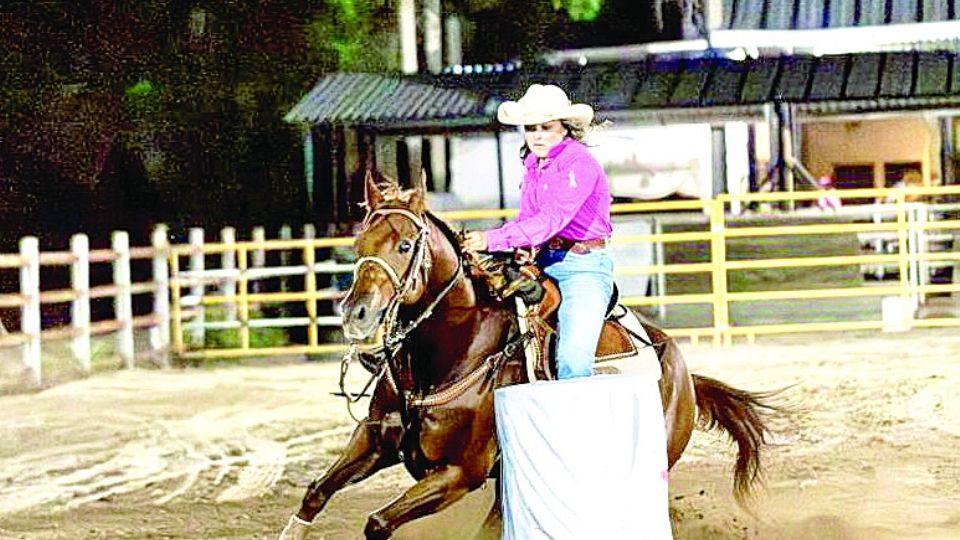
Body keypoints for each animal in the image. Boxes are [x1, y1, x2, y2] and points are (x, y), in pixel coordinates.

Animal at [278, 173, 780, 540]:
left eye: (404, 245)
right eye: (358, 244)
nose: (357, 314)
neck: (451, 355)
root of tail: (682, 371)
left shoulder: (459, 473)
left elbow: (377, 522)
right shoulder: (374, 439)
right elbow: (315, 493)